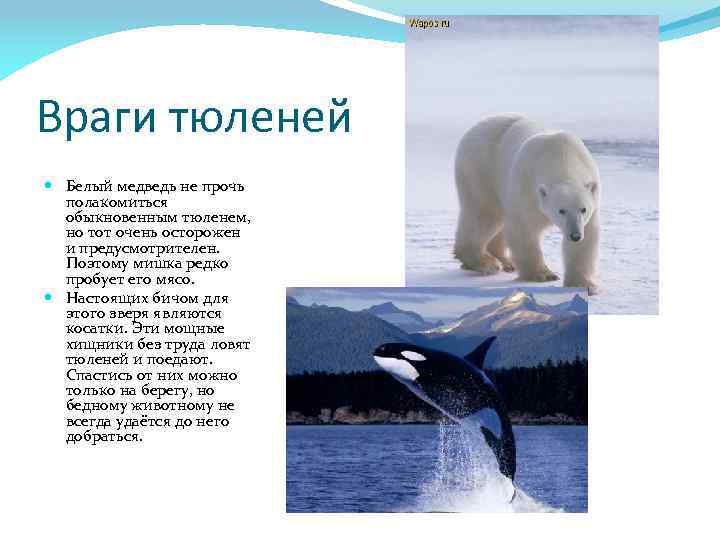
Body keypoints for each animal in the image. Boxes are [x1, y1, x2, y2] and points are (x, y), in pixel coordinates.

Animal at [453, 114, 600, 294]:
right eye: (561, 210)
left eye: (583, 209)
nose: (575, 235)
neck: (561, 156)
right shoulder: (527, 187)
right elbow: (523, 228)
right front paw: (543, 275)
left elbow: (588, 238)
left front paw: (583, 284)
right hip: (480, 170)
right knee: (484, 213)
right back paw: (486, 262)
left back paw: (506, 262)